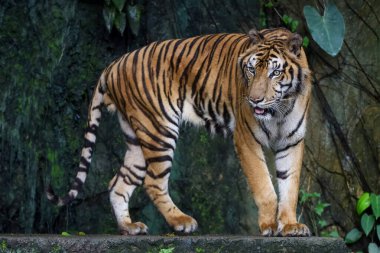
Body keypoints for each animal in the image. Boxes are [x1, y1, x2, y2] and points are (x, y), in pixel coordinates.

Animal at [46, 27, 312, 237]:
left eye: (275, 72)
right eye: (251, 70)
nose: (255, 100)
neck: (279, 109)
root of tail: (115, 63)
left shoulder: (292, 141)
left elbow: (290, 186)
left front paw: (290, 226)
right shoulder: (246, 138)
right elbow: (265, 186)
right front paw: (268, 226)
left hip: (137, 138)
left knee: (118, 182)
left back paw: (129, 227)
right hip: (159, 129)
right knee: (153, 181)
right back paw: (181, 221)